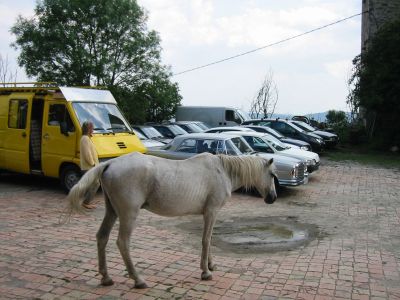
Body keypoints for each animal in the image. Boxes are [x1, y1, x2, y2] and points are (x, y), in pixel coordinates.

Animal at [66, 152, 278, 288]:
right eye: (272, 174)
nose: (273, 198)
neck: (223, 171)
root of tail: (109, 164)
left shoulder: (210, 214)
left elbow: (208, 240)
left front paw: (210, 265)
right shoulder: (211, 212)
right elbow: (206, 240)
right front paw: (205, 272)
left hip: (112, 212)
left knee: (102, 237)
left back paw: (106, 278)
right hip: (128, 214)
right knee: (122, 242)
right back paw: (138, 280)